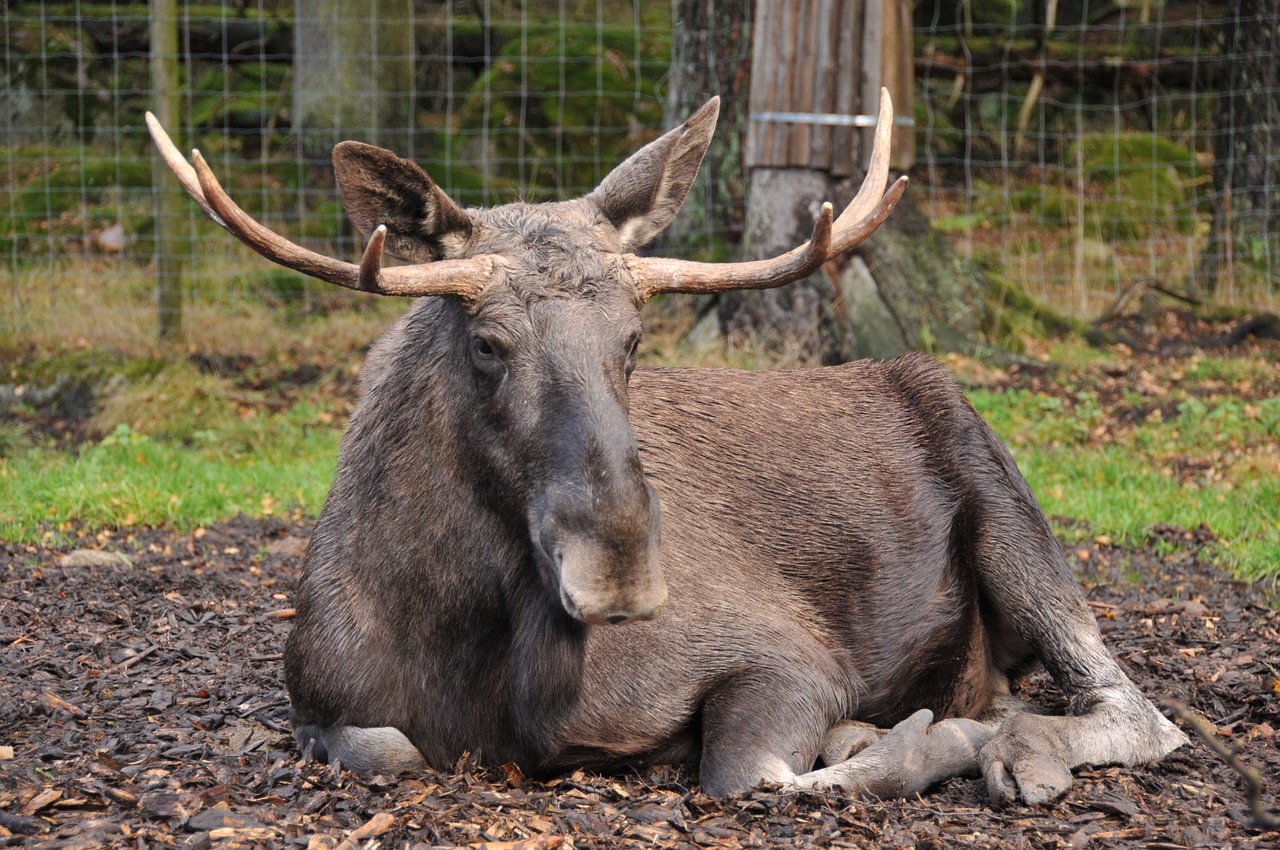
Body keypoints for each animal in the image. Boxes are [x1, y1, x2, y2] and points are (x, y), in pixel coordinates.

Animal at [147, 94, 1177, 803]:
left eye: (634, 339)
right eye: (488, 342)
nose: (620, 572)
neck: (475, 650)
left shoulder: (792, 654)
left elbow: (752, 771)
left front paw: (920, 741)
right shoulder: (314, 700)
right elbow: (387, 749)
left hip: (1008, 506)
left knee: (1137, 710)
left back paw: (1016, 746)